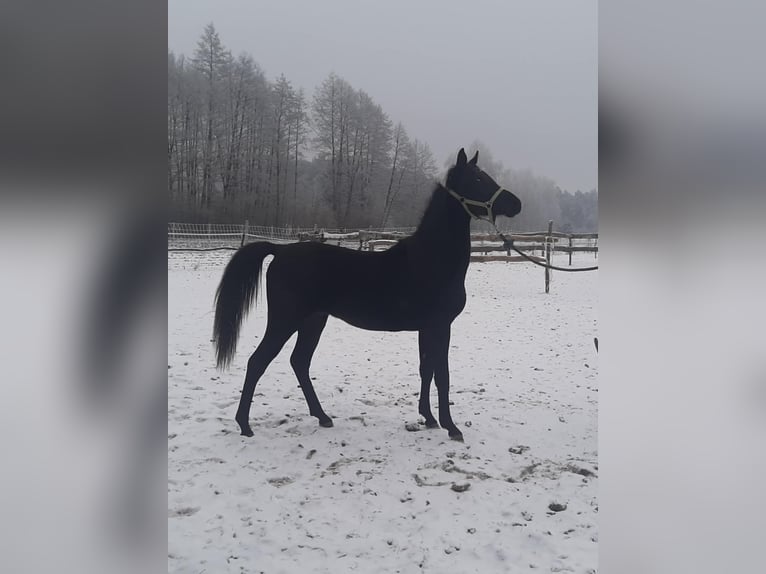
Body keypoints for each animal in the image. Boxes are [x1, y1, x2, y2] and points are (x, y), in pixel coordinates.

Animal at [213, 148, 522, 441]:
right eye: (477, 179)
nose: (515, 203)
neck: (430, 259)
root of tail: (280, 250)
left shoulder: (427, 328)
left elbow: (426, 369)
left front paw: (429, 418)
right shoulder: (440, 326)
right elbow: (442, 376)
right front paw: (451, 427)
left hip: (314, 320)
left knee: (299, 361)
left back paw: (322, 417)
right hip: (285, 320)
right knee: (258, 362)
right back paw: (245, 426)